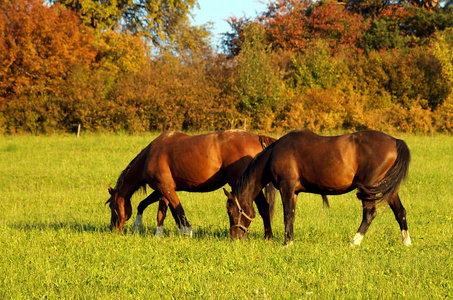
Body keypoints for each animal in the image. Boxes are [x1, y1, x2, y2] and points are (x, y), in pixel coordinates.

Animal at [106, 130, 276, 238]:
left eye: (112, 207)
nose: (113, 229)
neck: (150, 155)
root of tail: (256, 137)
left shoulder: (166, 189)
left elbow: (175, 211)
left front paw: (187, 232)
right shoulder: (164, 190)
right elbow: (160, 210)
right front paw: (144, 229)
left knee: (262, 207)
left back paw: (268, 236)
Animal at [224, 129, 412, 246]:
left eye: (232, 212)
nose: (234, 238)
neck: (274, 154)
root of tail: (395, 142)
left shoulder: (287, 188)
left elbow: (287, 216)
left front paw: (287, 243)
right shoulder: (294, 193)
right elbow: (291, 216)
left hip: (370, 190)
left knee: (369, 214)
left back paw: (355, 241)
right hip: (390, 191)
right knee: (400, 212)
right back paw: (406, 242)